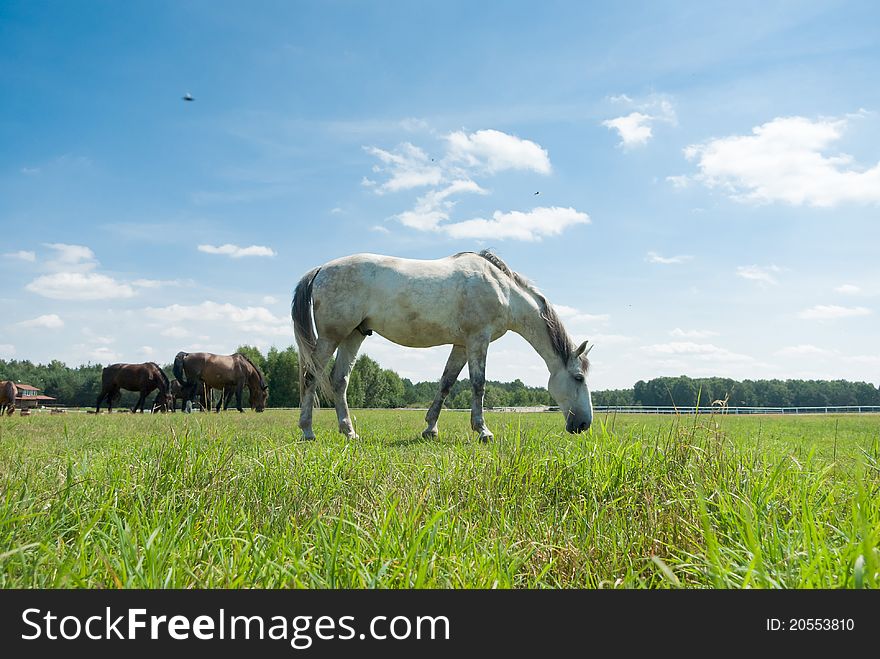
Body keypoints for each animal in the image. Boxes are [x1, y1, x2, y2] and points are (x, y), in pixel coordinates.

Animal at [292, 253, 596, 444]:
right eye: (578, 377)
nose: (583, 425)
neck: (503, 290)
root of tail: (320, 269)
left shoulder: (461, 345)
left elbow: (446, 383)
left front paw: (430, 429)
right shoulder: (478, 339)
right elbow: (478, 384)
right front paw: (483, 431)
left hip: (353, 336)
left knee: (339, 380)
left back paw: (349, 433)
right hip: (331, 337)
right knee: (311, 376)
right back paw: (307, 432)